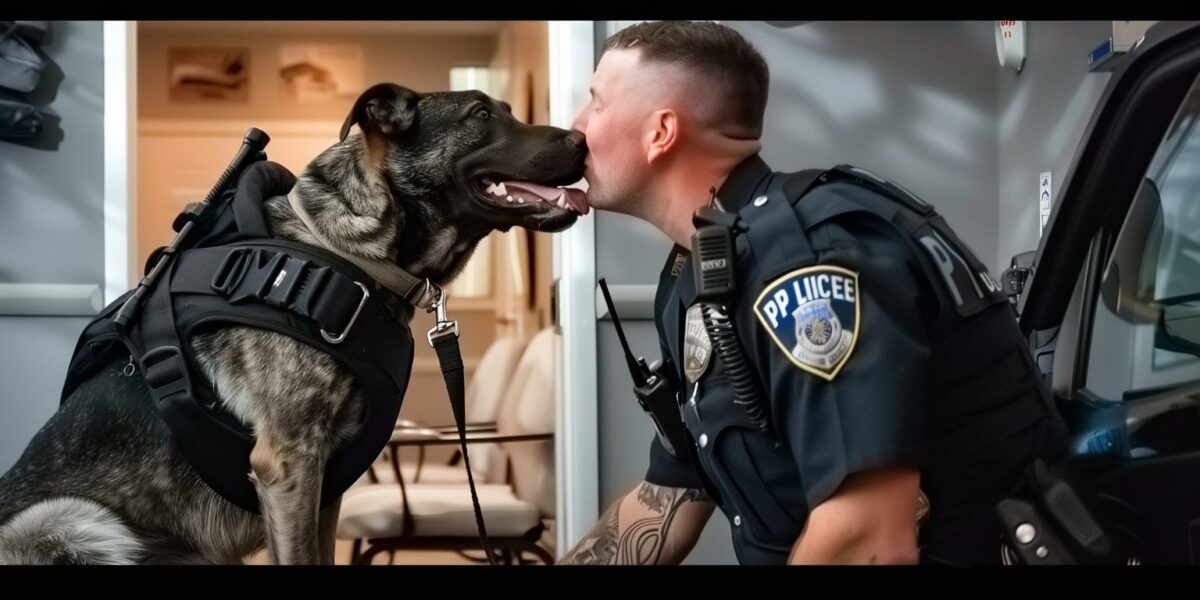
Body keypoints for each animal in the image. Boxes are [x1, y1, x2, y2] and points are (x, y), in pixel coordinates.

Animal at [0, 82, 590, 564]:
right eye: (481, 115)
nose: (584, 140)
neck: (348, 250)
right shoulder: (289, 466)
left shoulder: (323, 488)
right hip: (70, 519)